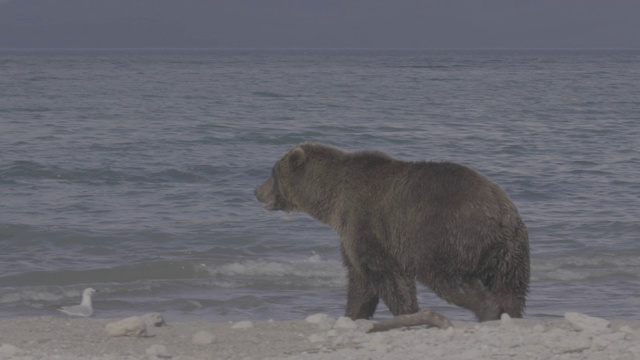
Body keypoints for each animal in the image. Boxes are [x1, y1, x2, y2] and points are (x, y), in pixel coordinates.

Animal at [255, 142, 528, 322]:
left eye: (272, 173)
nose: (257, 192)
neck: (331, 197)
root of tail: (500, 213)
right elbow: (360, 281)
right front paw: (353, 314)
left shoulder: (366, 223)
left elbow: (386, 276)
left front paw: (407, 313)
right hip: (510, 251)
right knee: (510, 287)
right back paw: (509, 313)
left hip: (446, 236)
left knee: (449, 279)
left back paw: (488, 310)